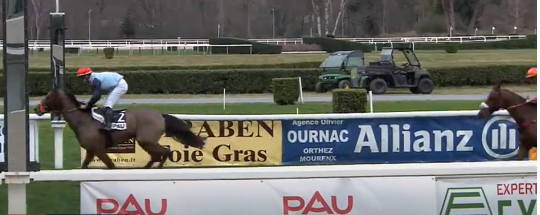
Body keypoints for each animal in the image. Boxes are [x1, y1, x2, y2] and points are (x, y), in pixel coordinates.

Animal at [34, 88, 207, 169]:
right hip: (146, 142)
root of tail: (160, 115)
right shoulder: (91, 150)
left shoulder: (98, 149)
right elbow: (84, 166)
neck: (82, 119)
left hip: (146, 140)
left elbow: (111, 165)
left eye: (48, 96)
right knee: (157, 155)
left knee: (165, 152)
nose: (37, 108)